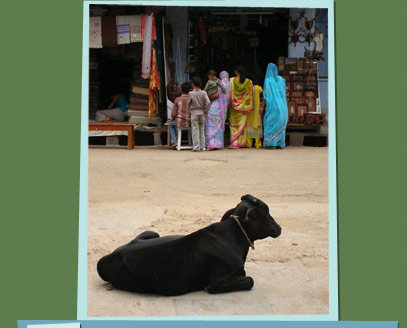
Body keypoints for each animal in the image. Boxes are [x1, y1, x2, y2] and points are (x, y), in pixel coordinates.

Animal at [97, 193, 282, 296]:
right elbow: (249, 280)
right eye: (266, 212)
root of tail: (108, 257)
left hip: (152, 232)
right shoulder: (217, 282)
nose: (279, 228)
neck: (233, 238)